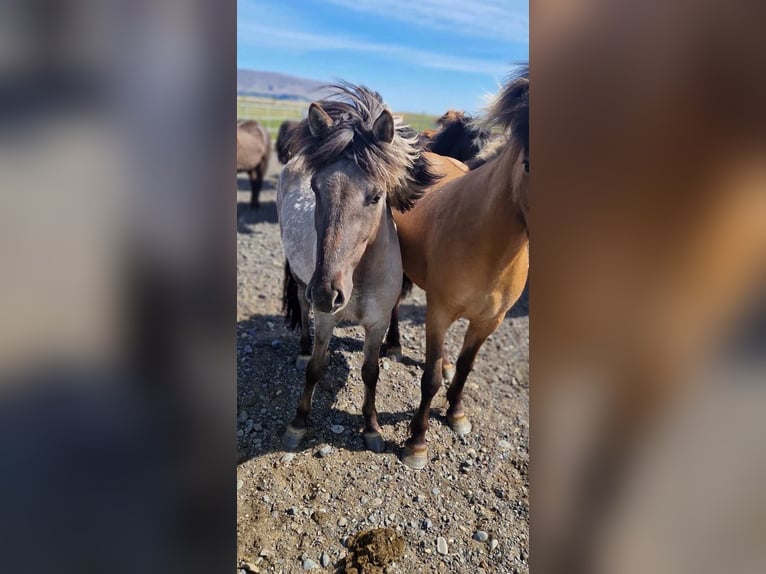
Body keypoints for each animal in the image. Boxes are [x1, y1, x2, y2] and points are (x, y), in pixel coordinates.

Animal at [392, 68, 532, 472]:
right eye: (529, 164)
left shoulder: (489, 321)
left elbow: (466, 368)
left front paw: (456, 414)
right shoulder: (437, 314)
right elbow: (429, 380)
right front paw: (416, 443)